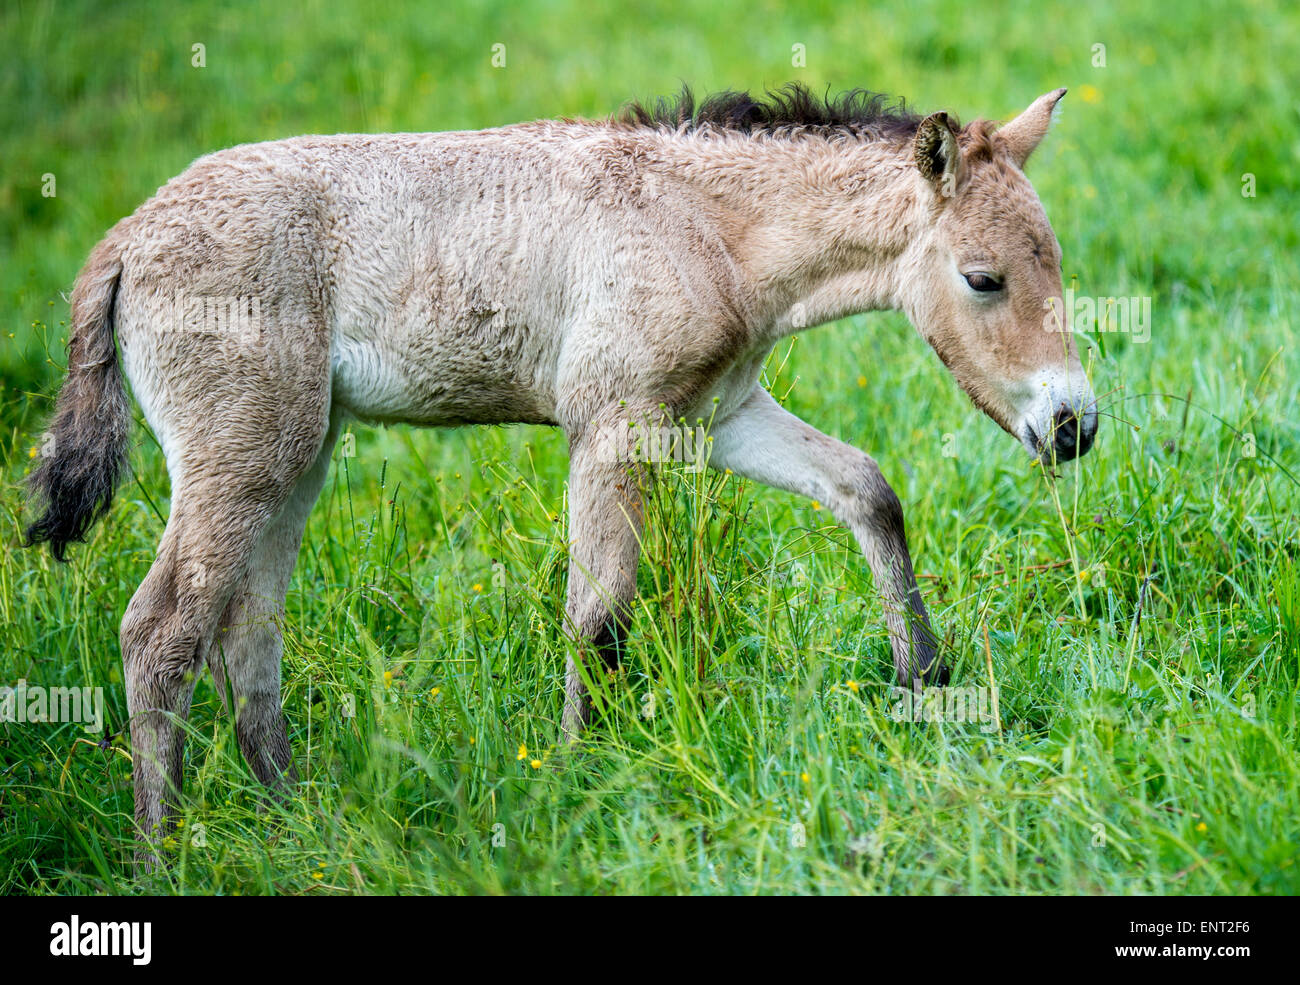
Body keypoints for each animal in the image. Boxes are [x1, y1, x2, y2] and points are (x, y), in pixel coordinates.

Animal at [22, 82, 1097, 847]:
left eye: (1054, 261)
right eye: (983, 278)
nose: (1075, 425)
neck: (703, 224)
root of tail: (125, 242)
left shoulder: (719, 417)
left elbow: (866, 489)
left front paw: (925, 681)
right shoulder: (610, 422)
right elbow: (600, 609)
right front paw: (585, 774)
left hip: (296, 452)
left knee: (247, 623)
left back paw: (294, 819)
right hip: (242, 450)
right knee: (162, 628)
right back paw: (165, 853)